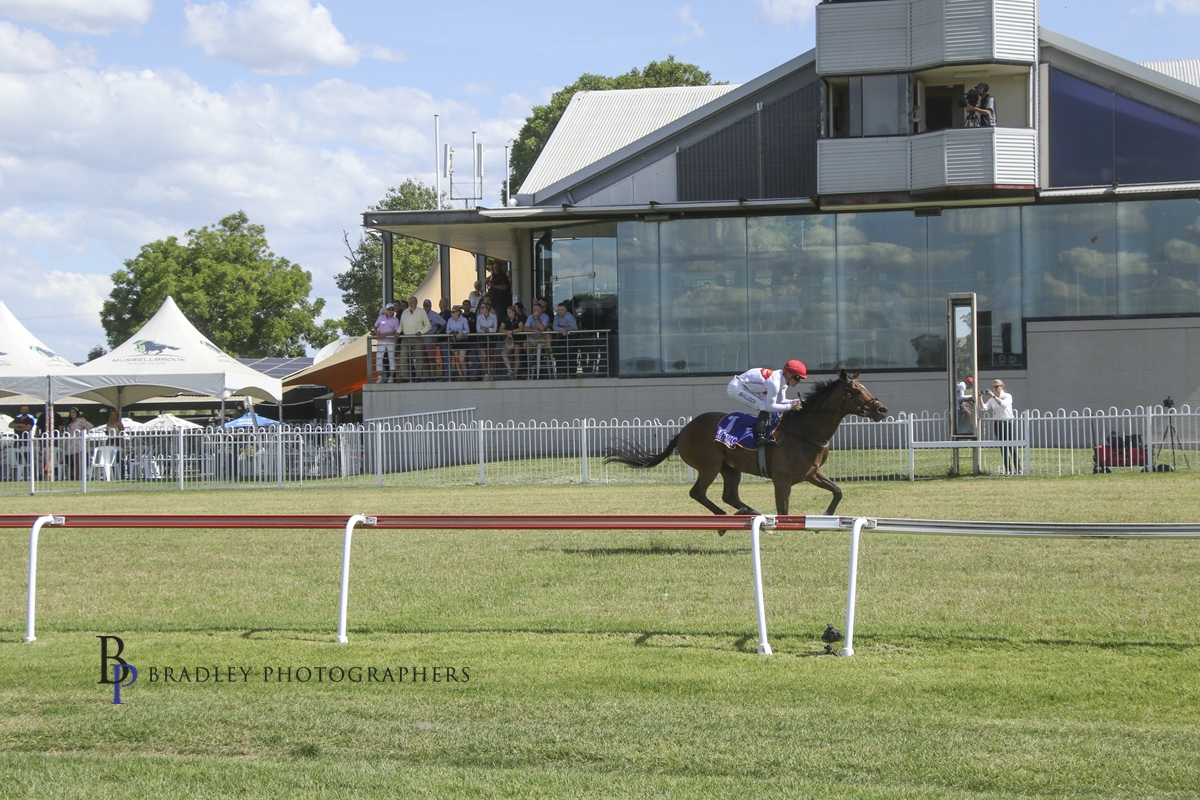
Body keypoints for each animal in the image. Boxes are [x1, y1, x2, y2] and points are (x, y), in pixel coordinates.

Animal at [606, 370, 888, 519]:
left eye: (864, 387)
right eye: (857, 391)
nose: (882, 410)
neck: (805, 431)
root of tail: (683, 431)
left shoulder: (811, 473)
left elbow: (837, 491)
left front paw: (828, 516)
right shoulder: (782, 480)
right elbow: (784, 511)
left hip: (731, 468)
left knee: (729, 495)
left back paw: (747, 511)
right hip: (710, 465)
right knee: (698, 493)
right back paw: (725, 516)